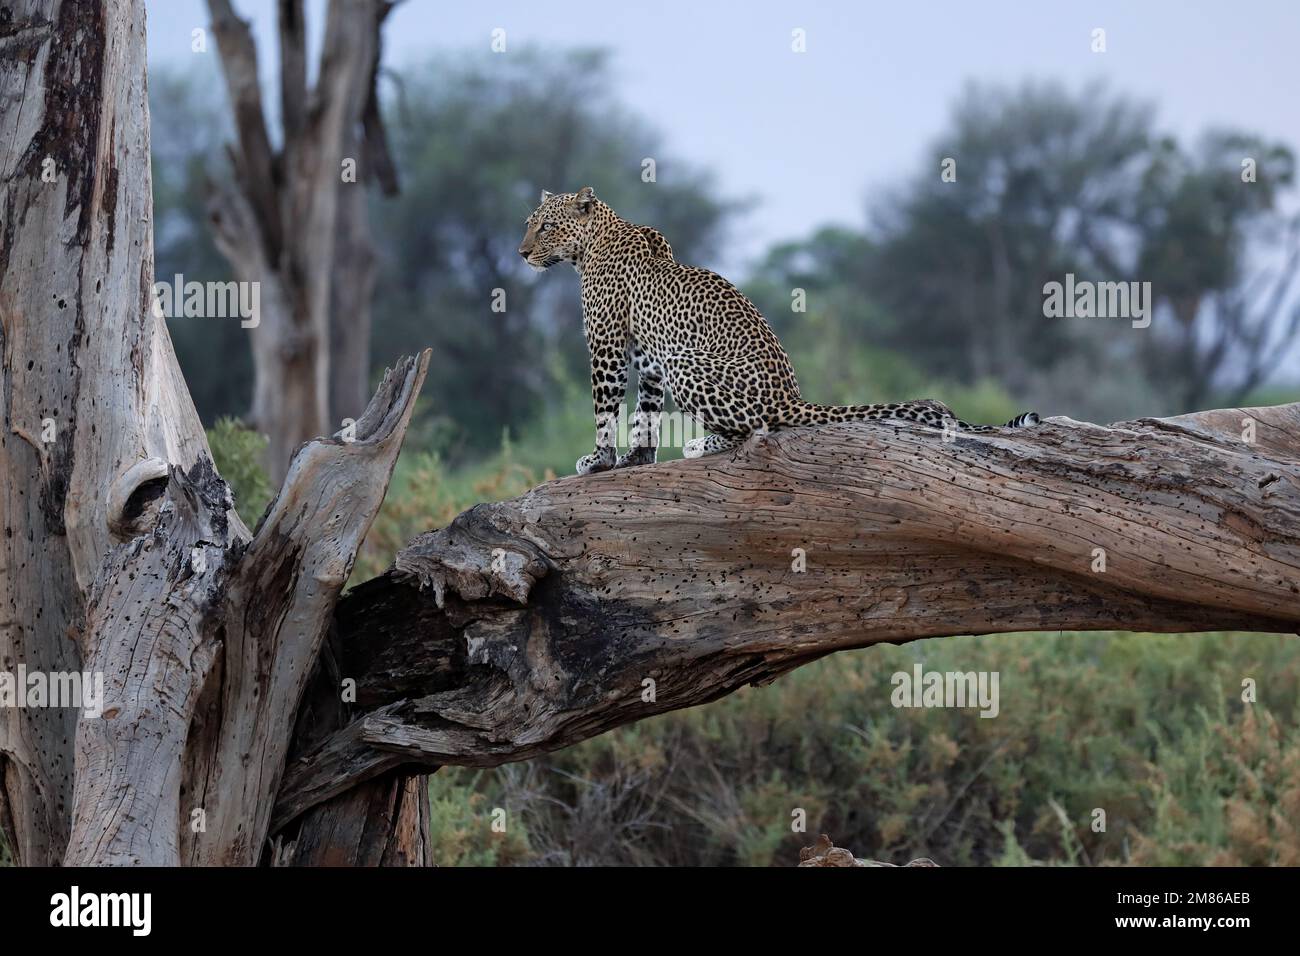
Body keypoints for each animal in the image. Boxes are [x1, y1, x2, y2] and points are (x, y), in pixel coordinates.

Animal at [517, 187, 1034, 476]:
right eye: (530, 225)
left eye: (545, 227)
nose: (521, 253)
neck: (592, 243)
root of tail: (792, 396)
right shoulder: (647, 358)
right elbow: (645, 412)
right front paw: (636, 460)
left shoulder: (606, 345)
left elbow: (605, 409)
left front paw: (599, 460)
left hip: (687, 363)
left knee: (756, 430)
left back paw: (701, 444)